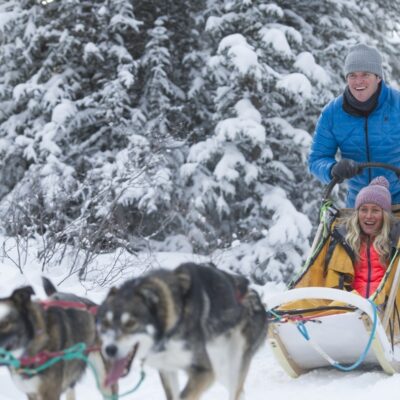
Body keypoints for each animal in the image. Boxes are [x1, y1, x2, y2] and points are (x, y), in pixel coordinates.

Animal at [95, 262, 268, 400]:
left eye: (131, 323)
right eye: (105, 323)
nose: (109, 349)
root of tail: (254, 295)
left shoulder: (204, 371)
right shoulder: (167, 370)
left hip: (232, 364)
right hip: (221, 368)